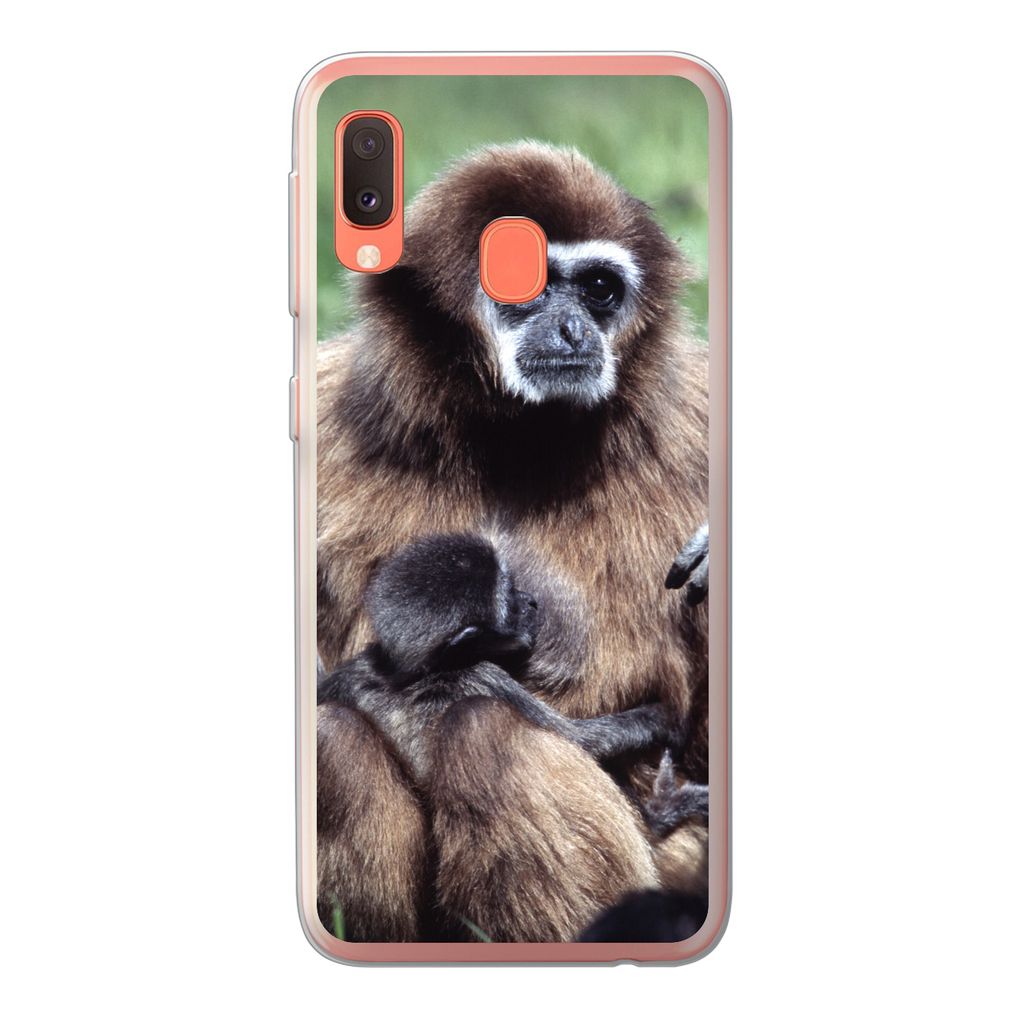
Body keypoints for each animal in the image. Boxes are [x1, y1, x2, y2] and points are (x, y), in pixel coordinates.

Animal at [316, 142, 710, 941]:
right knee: (333, 738)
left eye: (598, 289)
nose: (572, 330)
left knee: (484, 734)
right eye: (521, 286)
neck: (513, 444)